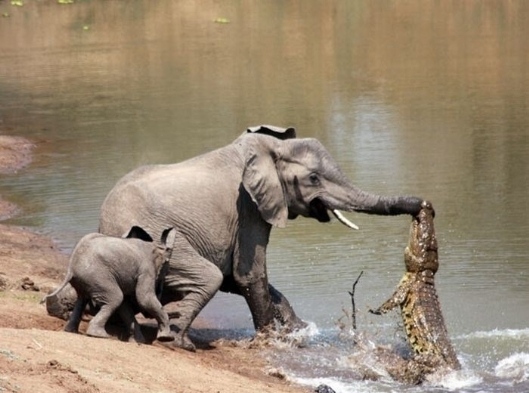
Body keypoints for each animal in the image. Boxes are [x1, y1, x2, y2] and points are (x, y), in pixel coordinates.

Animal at [43, 225, 175, 342]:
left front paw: (139, 341)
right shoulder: (146, 270)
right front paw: (166, 338)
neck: (156, 246)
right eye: (167, 266)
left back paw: (71, 331)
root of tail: (71, 267)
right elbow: (144, 299)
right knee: (115, 298)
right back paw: (99, 335)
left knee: (82, 299)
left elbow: (125, 306)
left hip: (86, 279)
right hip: (98, 275)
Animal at [98, 125, 420, 350]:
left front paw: (298, 330)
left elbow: (238, 278)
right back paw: (179, 343)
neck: (270, 148)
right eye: (313, 178)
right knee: (209, 277)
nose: (422, 205)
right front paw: (271, 342)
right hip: (155, 240)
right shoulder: (248, 208)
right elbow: (248, 275)